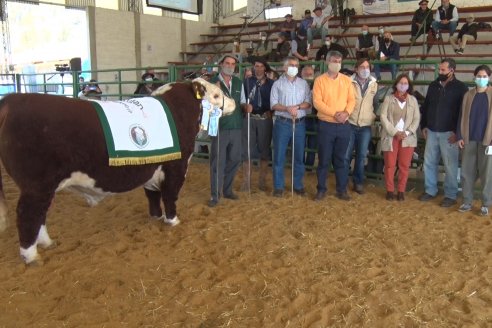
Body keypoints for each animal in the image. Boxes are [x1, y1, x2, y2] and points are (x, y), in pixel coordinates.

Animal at [0, 79, 234, 264]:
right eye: (216, 95)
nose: (232, 103)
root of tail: (12, 100)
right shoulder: (176, 167)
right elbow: (170, 196)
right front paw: (173, 221)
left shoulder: (151, 169)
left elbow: (152, 195)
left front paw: (156, 217)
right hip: (36, 186)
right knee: (28, 214)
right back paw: (31, 256)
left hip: (43, 188)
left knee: (40, 215)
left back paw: (47, 243)